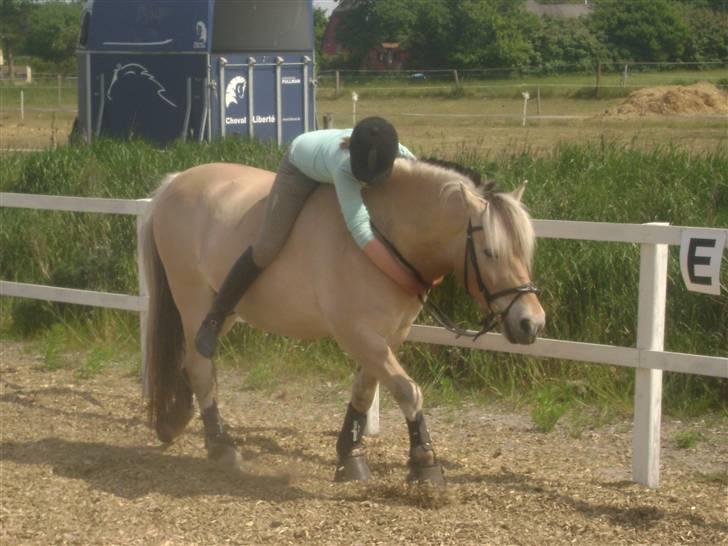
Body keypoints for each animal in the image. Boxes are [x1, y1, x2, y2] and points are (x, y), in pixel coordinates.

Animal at [139, 156, 544, 480]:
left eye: (525, 250)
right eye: (490, 252)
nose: (532, 323)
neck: (382, 238)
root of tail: (174, 182)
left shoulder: (387, 336)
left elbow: (365, 392)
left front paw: (350, 457)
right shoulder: (358, 334)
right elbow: (408, 391)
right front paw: (424, 462)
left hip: (222, 309)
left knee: (194, 362)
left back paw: (175, 421)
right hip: (193, 299)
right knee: (200, 368)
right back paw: (222, 447)